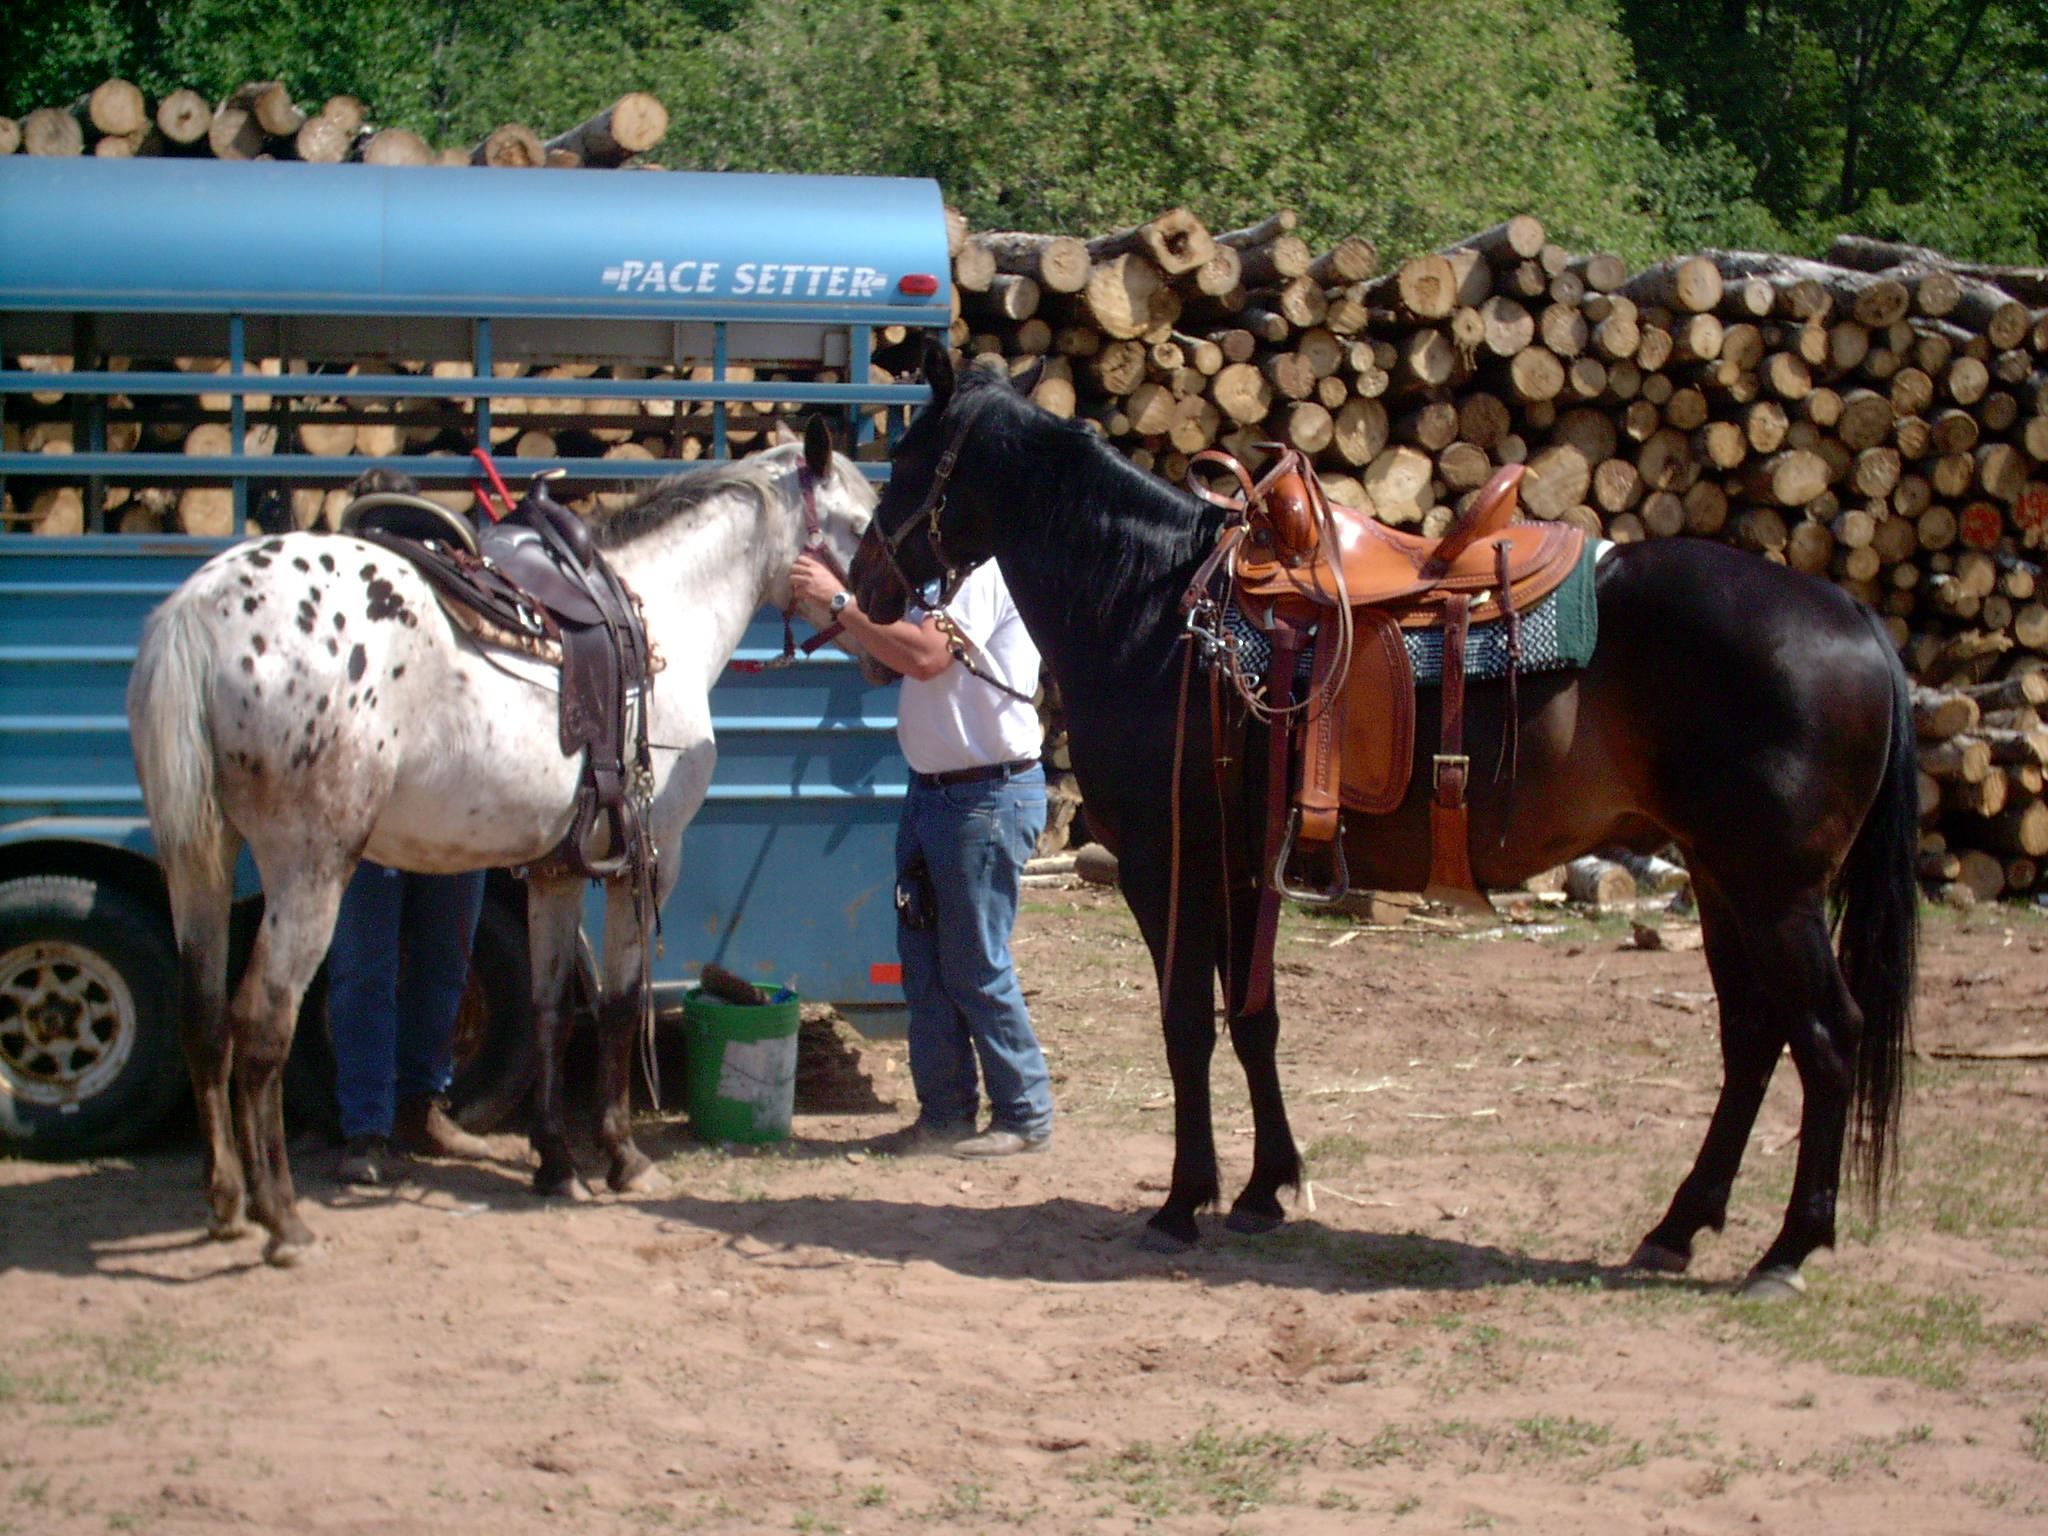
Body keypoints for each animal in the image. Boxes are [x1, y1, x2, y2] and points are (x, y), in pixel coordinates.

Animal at [128, 425, 875, 1265]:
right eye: (860, 522)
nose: (894, 615)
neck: (662, 613)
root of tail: (201, 610)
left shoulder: (556, 869)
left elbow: (551, 1009)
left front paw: (555, 1162)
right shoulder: (646, 861)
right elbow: (618, 1006)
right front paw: (622, 1156)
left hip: (199, 858)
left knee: (201, 1019)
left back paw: (227, 1202)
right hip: (308, 870)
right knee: (261, 1026)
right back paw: (282, 1219)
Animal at [849, 340, 1919, 1297]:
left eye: (907, 461)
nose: (863, 587)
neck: (1157, 614)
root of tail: (1858, 620)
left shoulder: (1167, 864)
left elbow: (1187, 1026)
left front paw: (1184, 1201)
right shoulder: (1242, 866)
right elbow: (1255, 1021)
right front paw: (1265, 1190)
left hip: (1773, 893)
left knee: (1827, 1037)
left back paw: (1786, 1251)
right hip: (1721, 880)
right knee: (1753, 1038)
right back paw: (1677, 1228)